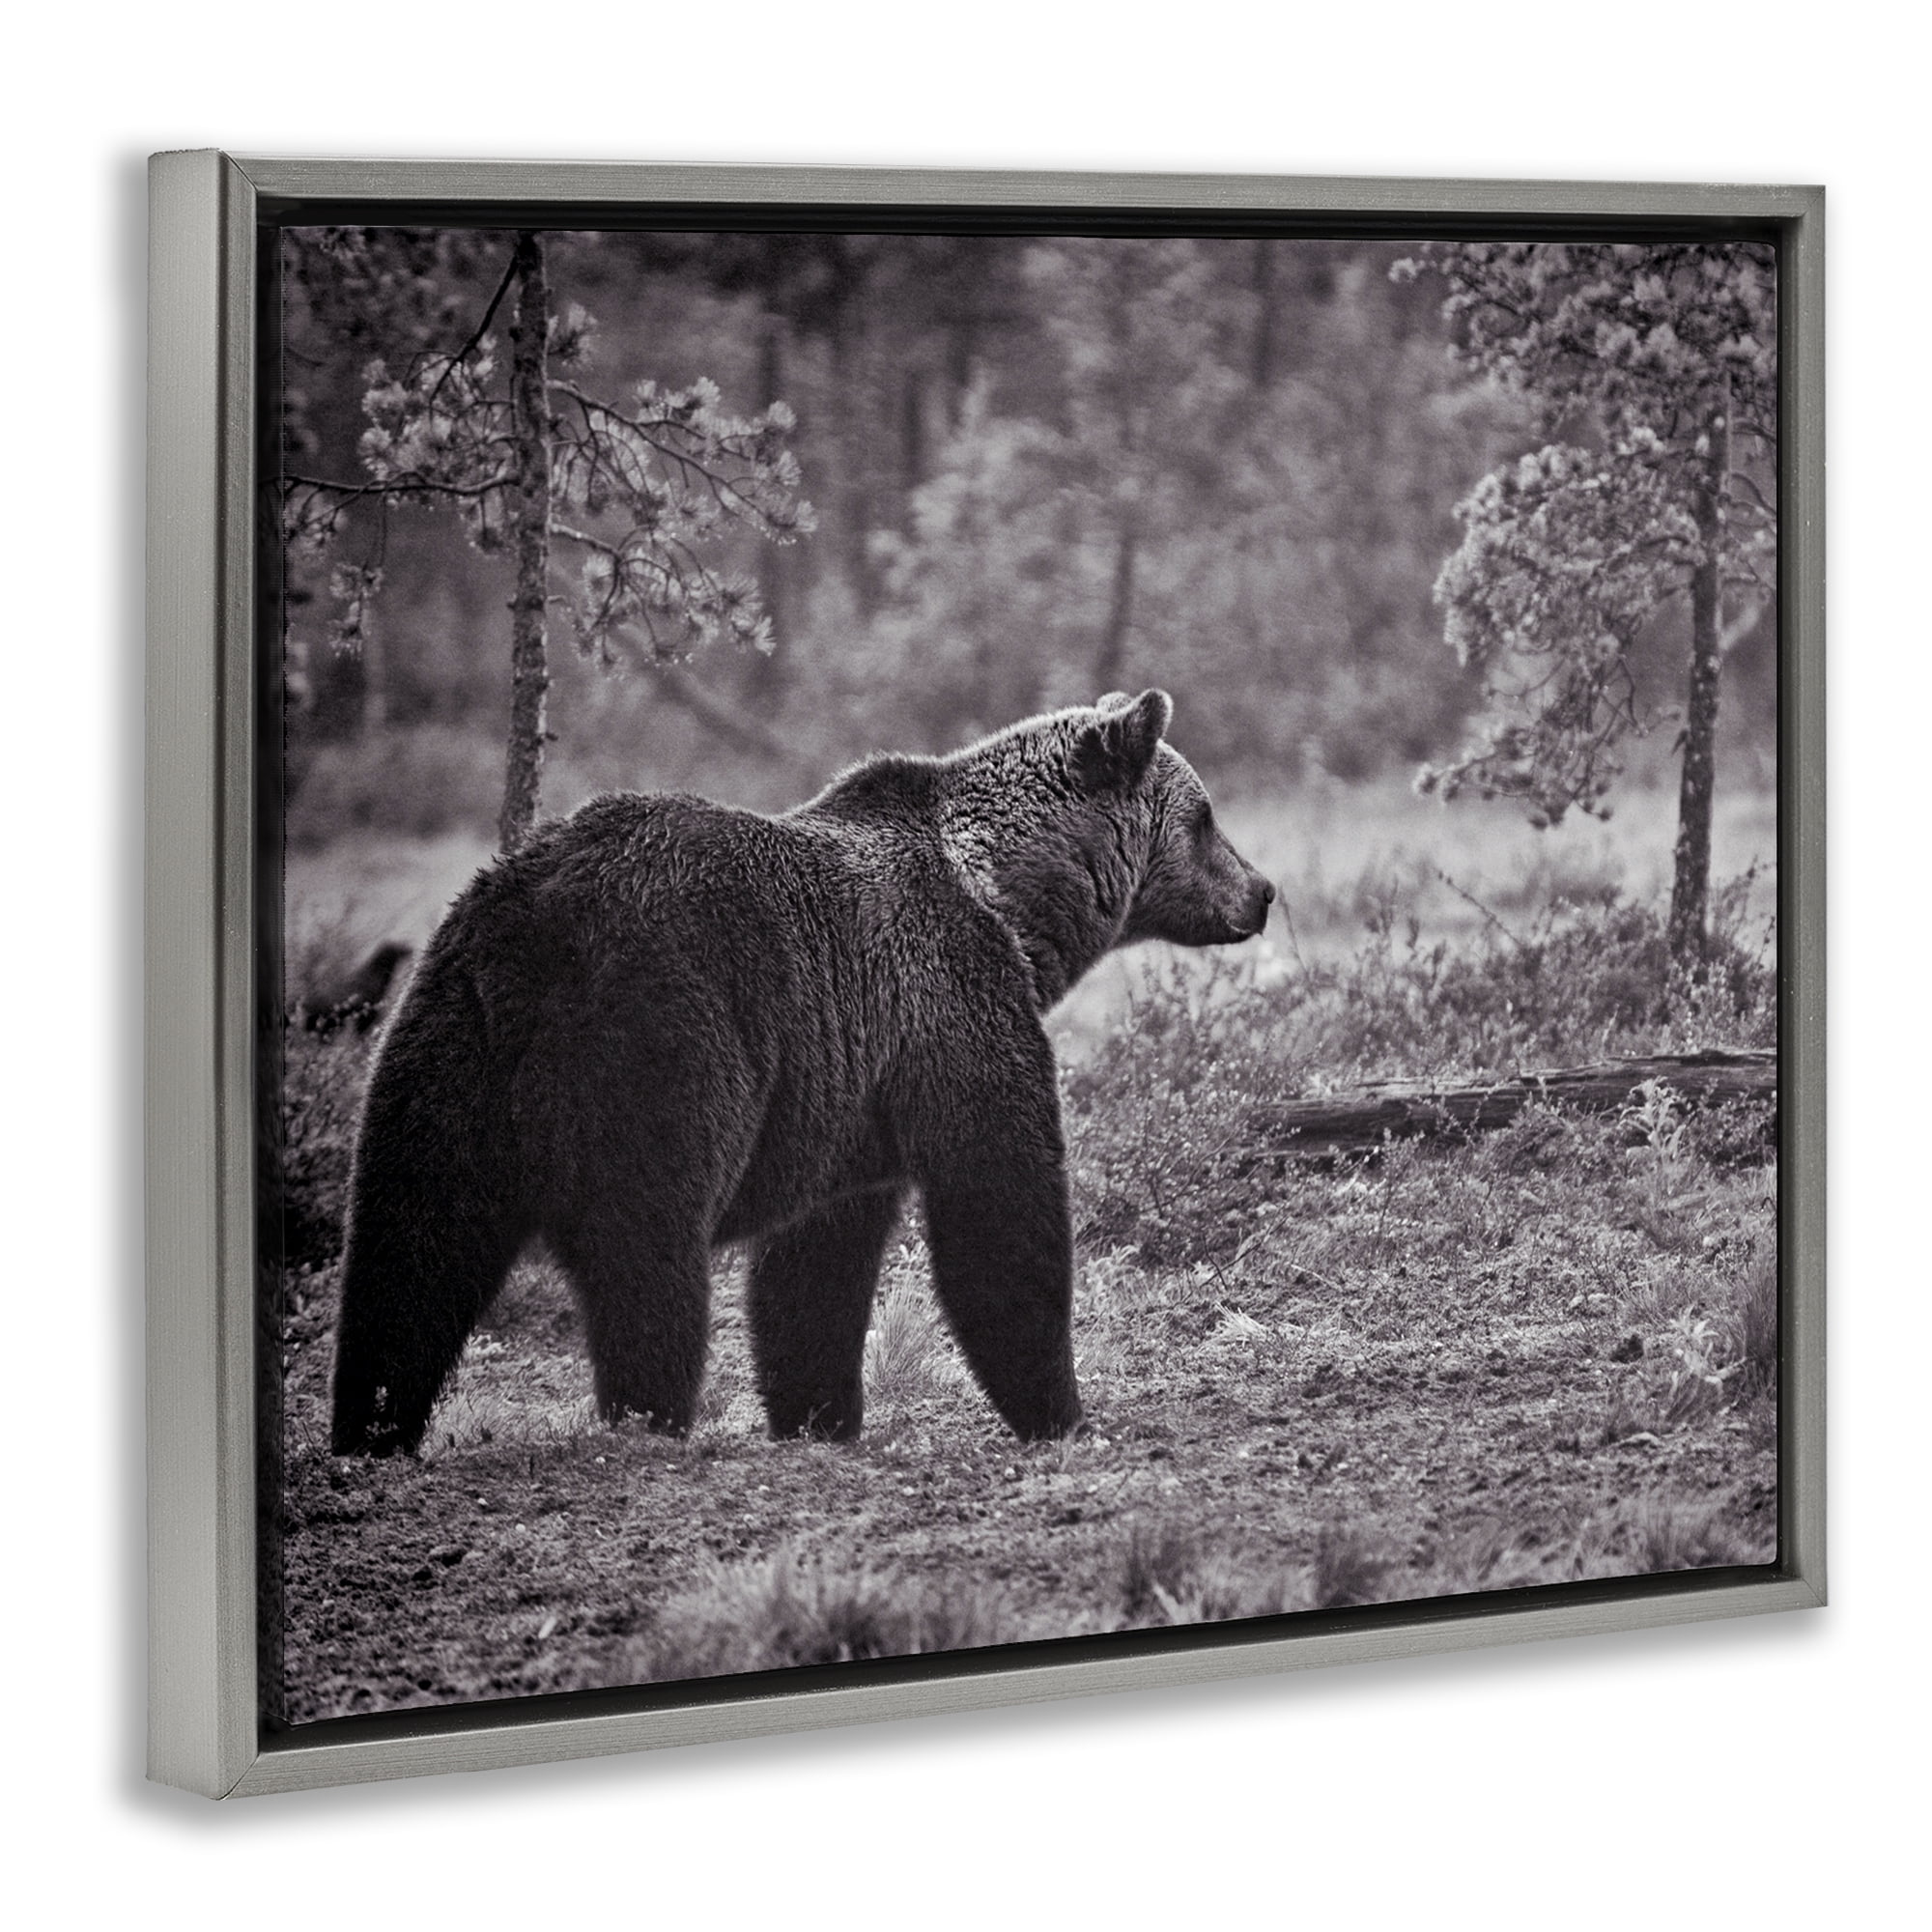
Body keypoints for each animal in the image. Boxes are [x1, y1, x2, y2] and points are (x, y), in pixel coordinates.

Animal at [328, 689, 1274, 1456]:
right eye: (1205, 817)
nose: (1262, 891)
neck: (1009, 901)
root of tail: (537, 926)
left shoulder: (851, 1094)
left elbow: (817, 1265)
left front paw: (820, 1415)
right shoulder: (951, 1004)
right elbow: (999, 1200)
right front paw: (1062, 1413)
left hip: (445, 1043)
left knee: (409, 1247)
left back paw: (370, 1428)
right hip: (664, 1035)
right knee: (646, 1247)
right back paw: (649, 1417)